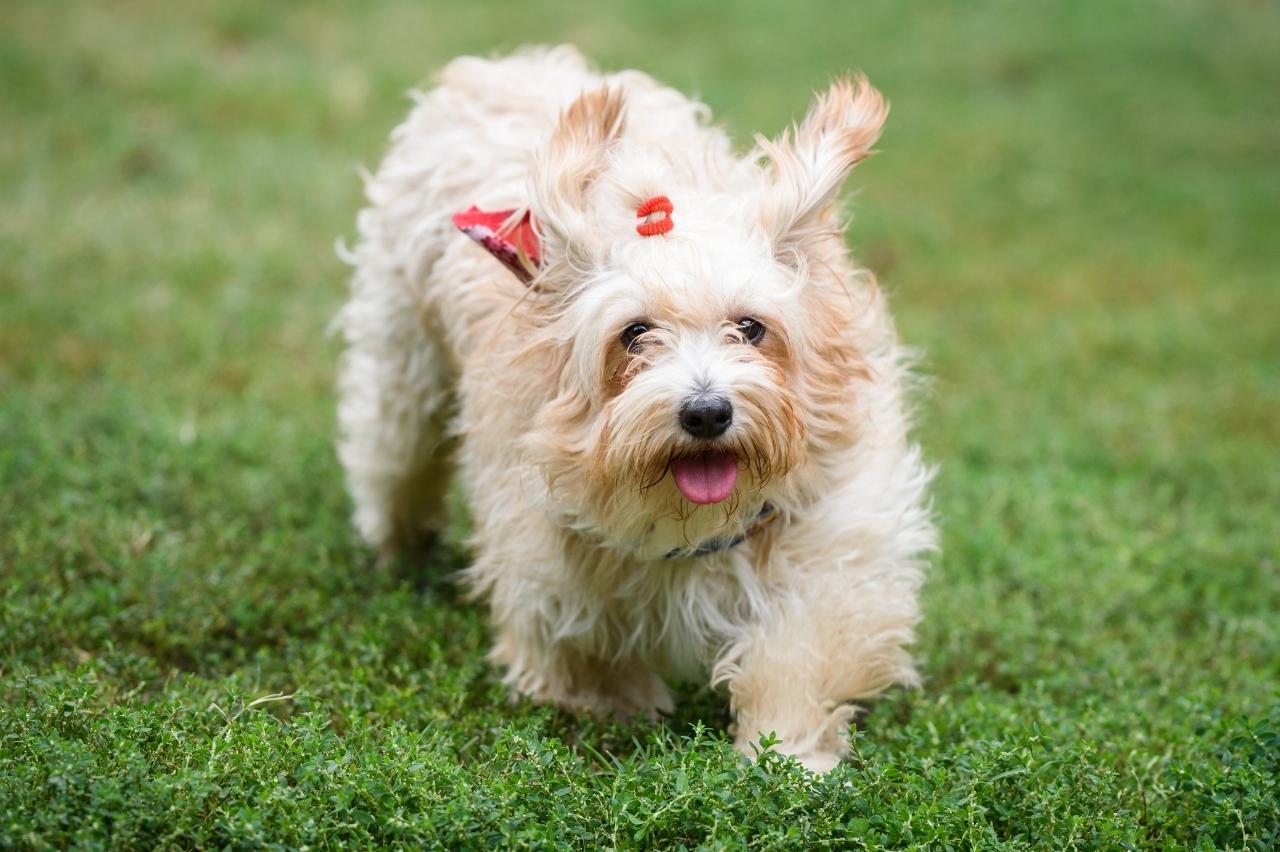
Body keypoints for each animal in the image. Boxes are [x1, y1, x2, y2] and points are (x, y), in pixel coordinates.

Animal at [335, 47, 936, 777]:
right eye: (635, 334)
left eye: (751, 327)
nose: (706, 412)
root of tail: (500, 67)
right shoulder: (549, 550)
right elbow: (583, 652)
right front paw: (614, 710)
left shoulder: (829, 530)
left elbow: (802, 646)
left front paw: (785, 755)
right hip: (403, 371)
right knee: (391, 461)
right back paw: (397, 551)